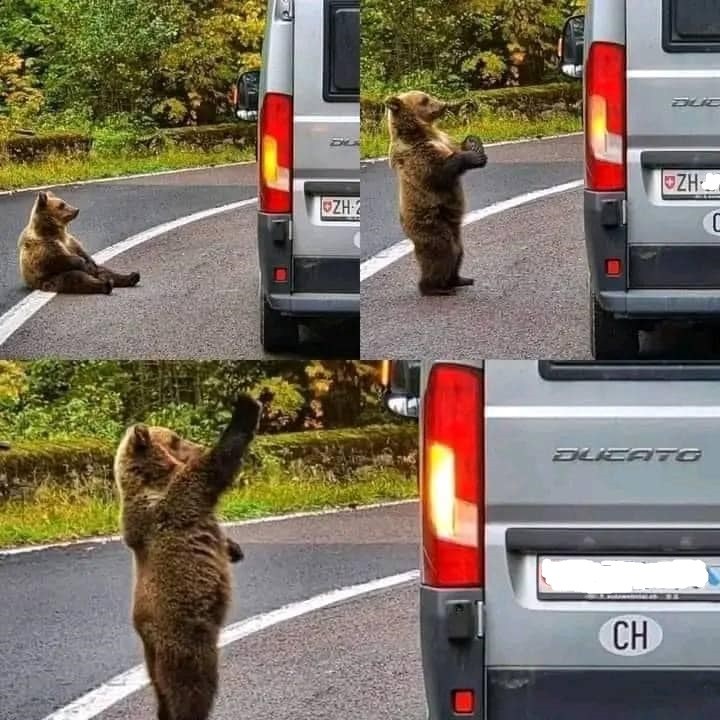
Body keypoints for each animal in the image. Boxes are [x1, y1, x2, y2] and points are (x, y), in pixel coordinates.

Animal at [114, 394, 261, 720]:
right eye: (176, 438)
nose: (197, 445)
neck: (153, 477)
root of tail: (145, 632)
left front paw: (234, 549)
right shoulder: (179, 498)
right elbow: (217, 466)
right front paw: (248, 405)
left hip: (154, 657)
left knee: (162, 691)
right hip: (185, 637)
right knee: (192, 687)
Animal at [385, 90, 488, 296]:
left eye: (427, 95)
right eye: (424, 100)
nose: (443, 105)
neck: (423, 132)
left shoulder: (444, 140)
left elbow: (456, 147)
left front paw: (473, 143)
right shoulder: (418, 156)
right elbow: (441, 171)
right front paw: (474, 155)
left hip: (453, 228)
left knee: (458, 250)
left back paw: (460, 279)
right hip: (431, 224)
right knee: (442, 252)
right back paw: (436, 288)